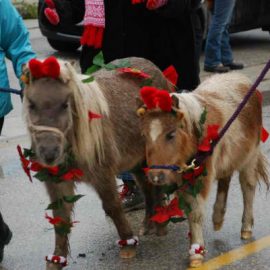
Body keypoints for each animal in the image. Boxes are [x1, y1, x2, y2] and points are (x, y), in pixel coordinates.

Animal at [22, 57, 172, 270]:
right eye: (32, 104)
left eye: (65, 104)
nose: (49, 153)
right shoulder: (57, 181)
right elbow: (60, 218)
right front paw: (56, 259)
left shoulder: (103, 174)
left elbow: (112, 207)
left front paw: (128, 244)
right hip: (135, 161)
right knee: (147, 187)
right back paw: (148, 223)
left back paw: (159, 225)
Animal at [138, 72, 268, 268]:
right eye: (144, 136)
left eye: (171, 134)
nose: (155, 177)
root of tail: (239, 77)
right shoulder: (184, 178)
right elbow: (190, 210)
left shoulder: (200, 177)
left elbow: (196, 213)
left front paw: (196, 252)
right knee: (225, 180)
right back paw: (217, 218)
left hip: (249, 158)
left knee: (248, 188)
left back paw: (246, 228)